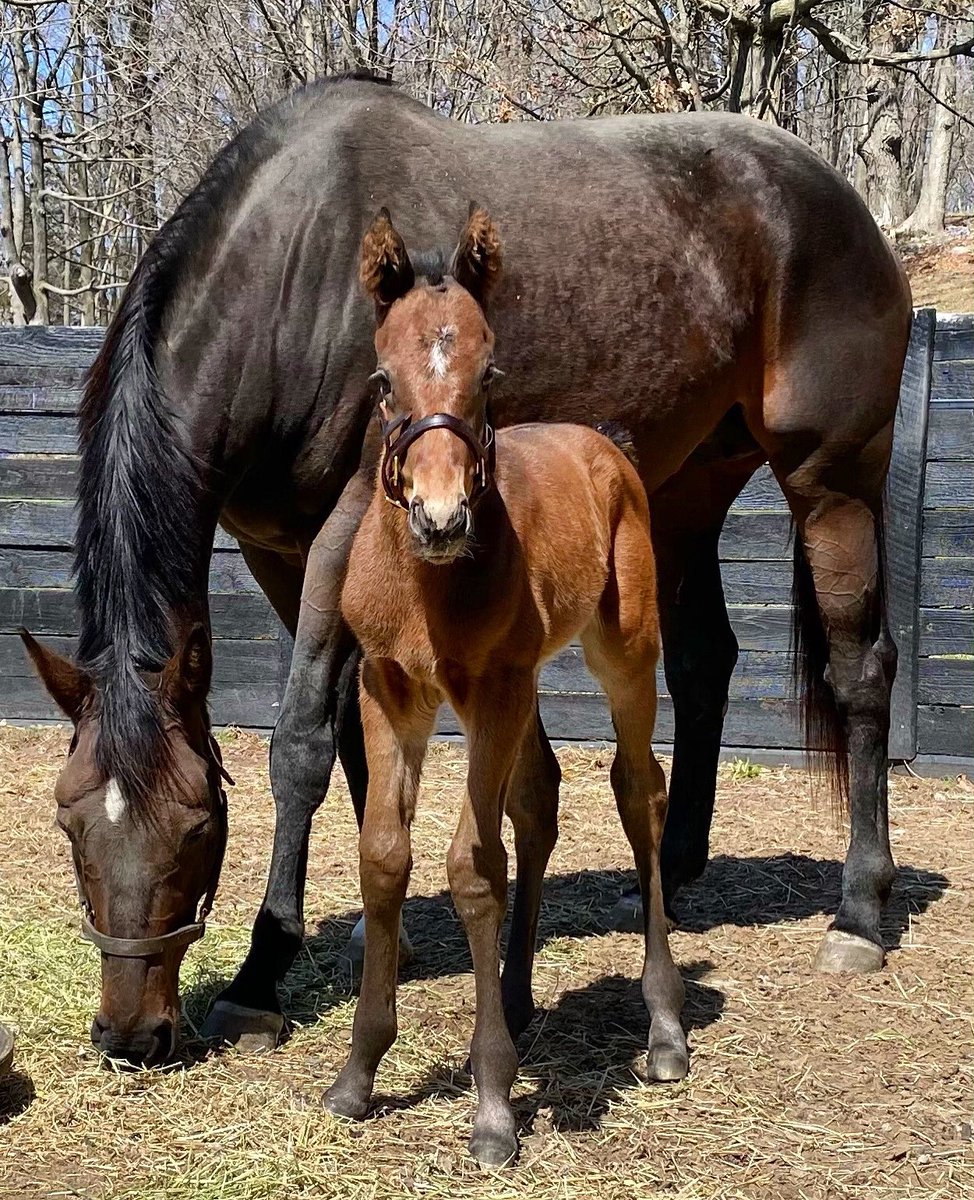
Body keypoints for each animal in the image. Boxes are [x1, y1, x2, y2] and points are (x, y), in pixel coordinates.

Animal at [22, 73, 912, 1065]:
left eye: (195, 825)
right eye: (68, 822)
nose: (130, 1032)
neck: (291, 272)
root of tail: (841, 200)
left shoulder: (336, 534)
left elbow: (301, 746)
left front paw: (259, 977)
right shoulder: (278, 555)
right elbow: (355, 740)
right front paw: (385, 933)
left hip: (832, 481)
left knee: (861, 668)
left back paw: (858, 913)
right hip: (688, 490)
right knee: (701, 664)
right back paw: (673, 875)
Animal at [324, 206, 686, 1166]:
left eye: (489, 375)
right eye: (382, 379)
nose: (441, 516)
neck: (430, 585)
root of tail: (605, 443)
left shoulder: (491, 691)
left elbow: (471, 867)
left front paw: (491, 1103)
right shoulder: (390, 689)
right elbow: (385, 856)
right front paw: (359, 1073)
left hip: (623, 654)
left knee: (638, 791)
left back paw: (665, 1027)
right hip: (525, 687)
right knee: (538, 798)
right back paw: (519, 999)